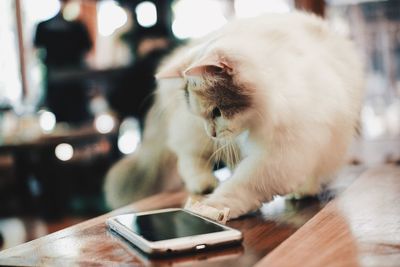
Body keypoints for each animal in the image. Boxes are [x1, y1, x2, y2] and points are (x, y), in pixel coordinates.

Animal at [104, 12, 364, 220]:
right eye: (206, 114)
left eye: (217, 112)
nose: (212, 132)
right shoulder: (279, 154)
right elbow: (243, 185)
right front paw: (211, 208)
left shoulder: (291, 147)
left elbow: (249, 182)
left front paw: (303, 189)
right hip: (195, 134)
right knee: (188, 156)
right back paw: (203, 183)